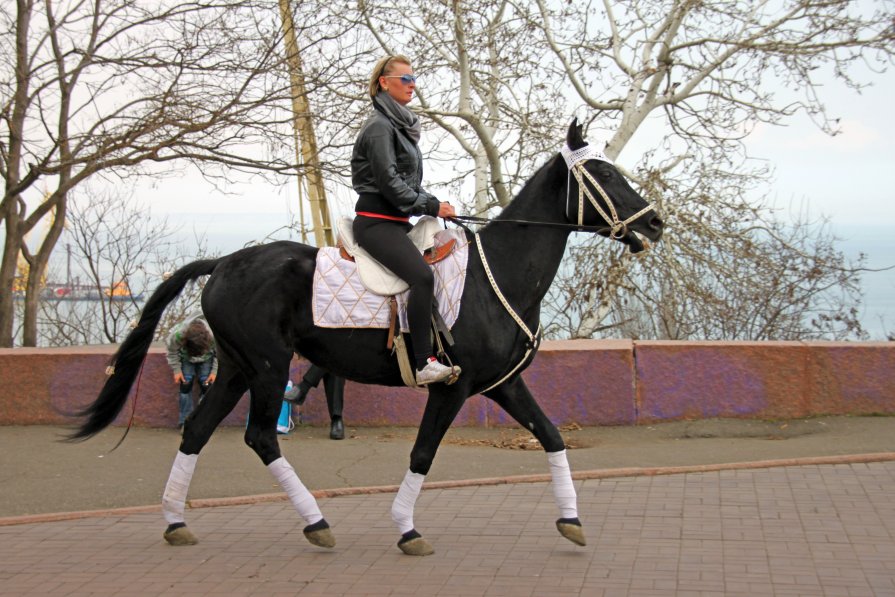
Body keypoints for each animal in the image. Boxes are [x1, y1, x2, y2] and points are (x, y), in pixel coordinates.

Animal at [70, 120, 660, 556]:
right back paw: (315, 523)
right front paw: (407, 528)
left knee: (196, 430)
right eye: (602, 172)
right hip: (268, 367)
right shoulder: (452, 387)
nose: (655, 224)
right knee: (260, 437)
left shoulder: (501, 385)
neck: (497, 275)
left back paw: (175, 522)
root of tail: (224, 261)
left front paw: (571, 519)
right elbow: (423, 453)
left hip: (237, 368)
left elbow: (552, 436)